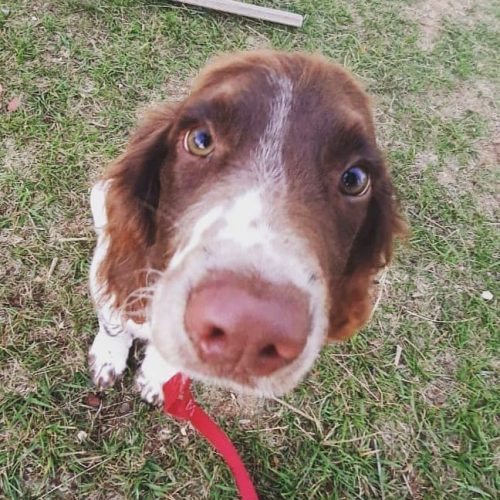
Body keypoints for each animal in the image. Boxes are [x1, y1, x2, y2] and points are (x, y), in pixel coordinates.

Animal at [88, 49, 404, 406]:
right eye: (200, 140)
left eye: (355, 179)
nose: (247, 330)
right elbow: (113, 320)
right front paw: (108, 357)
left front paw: (156, 377)